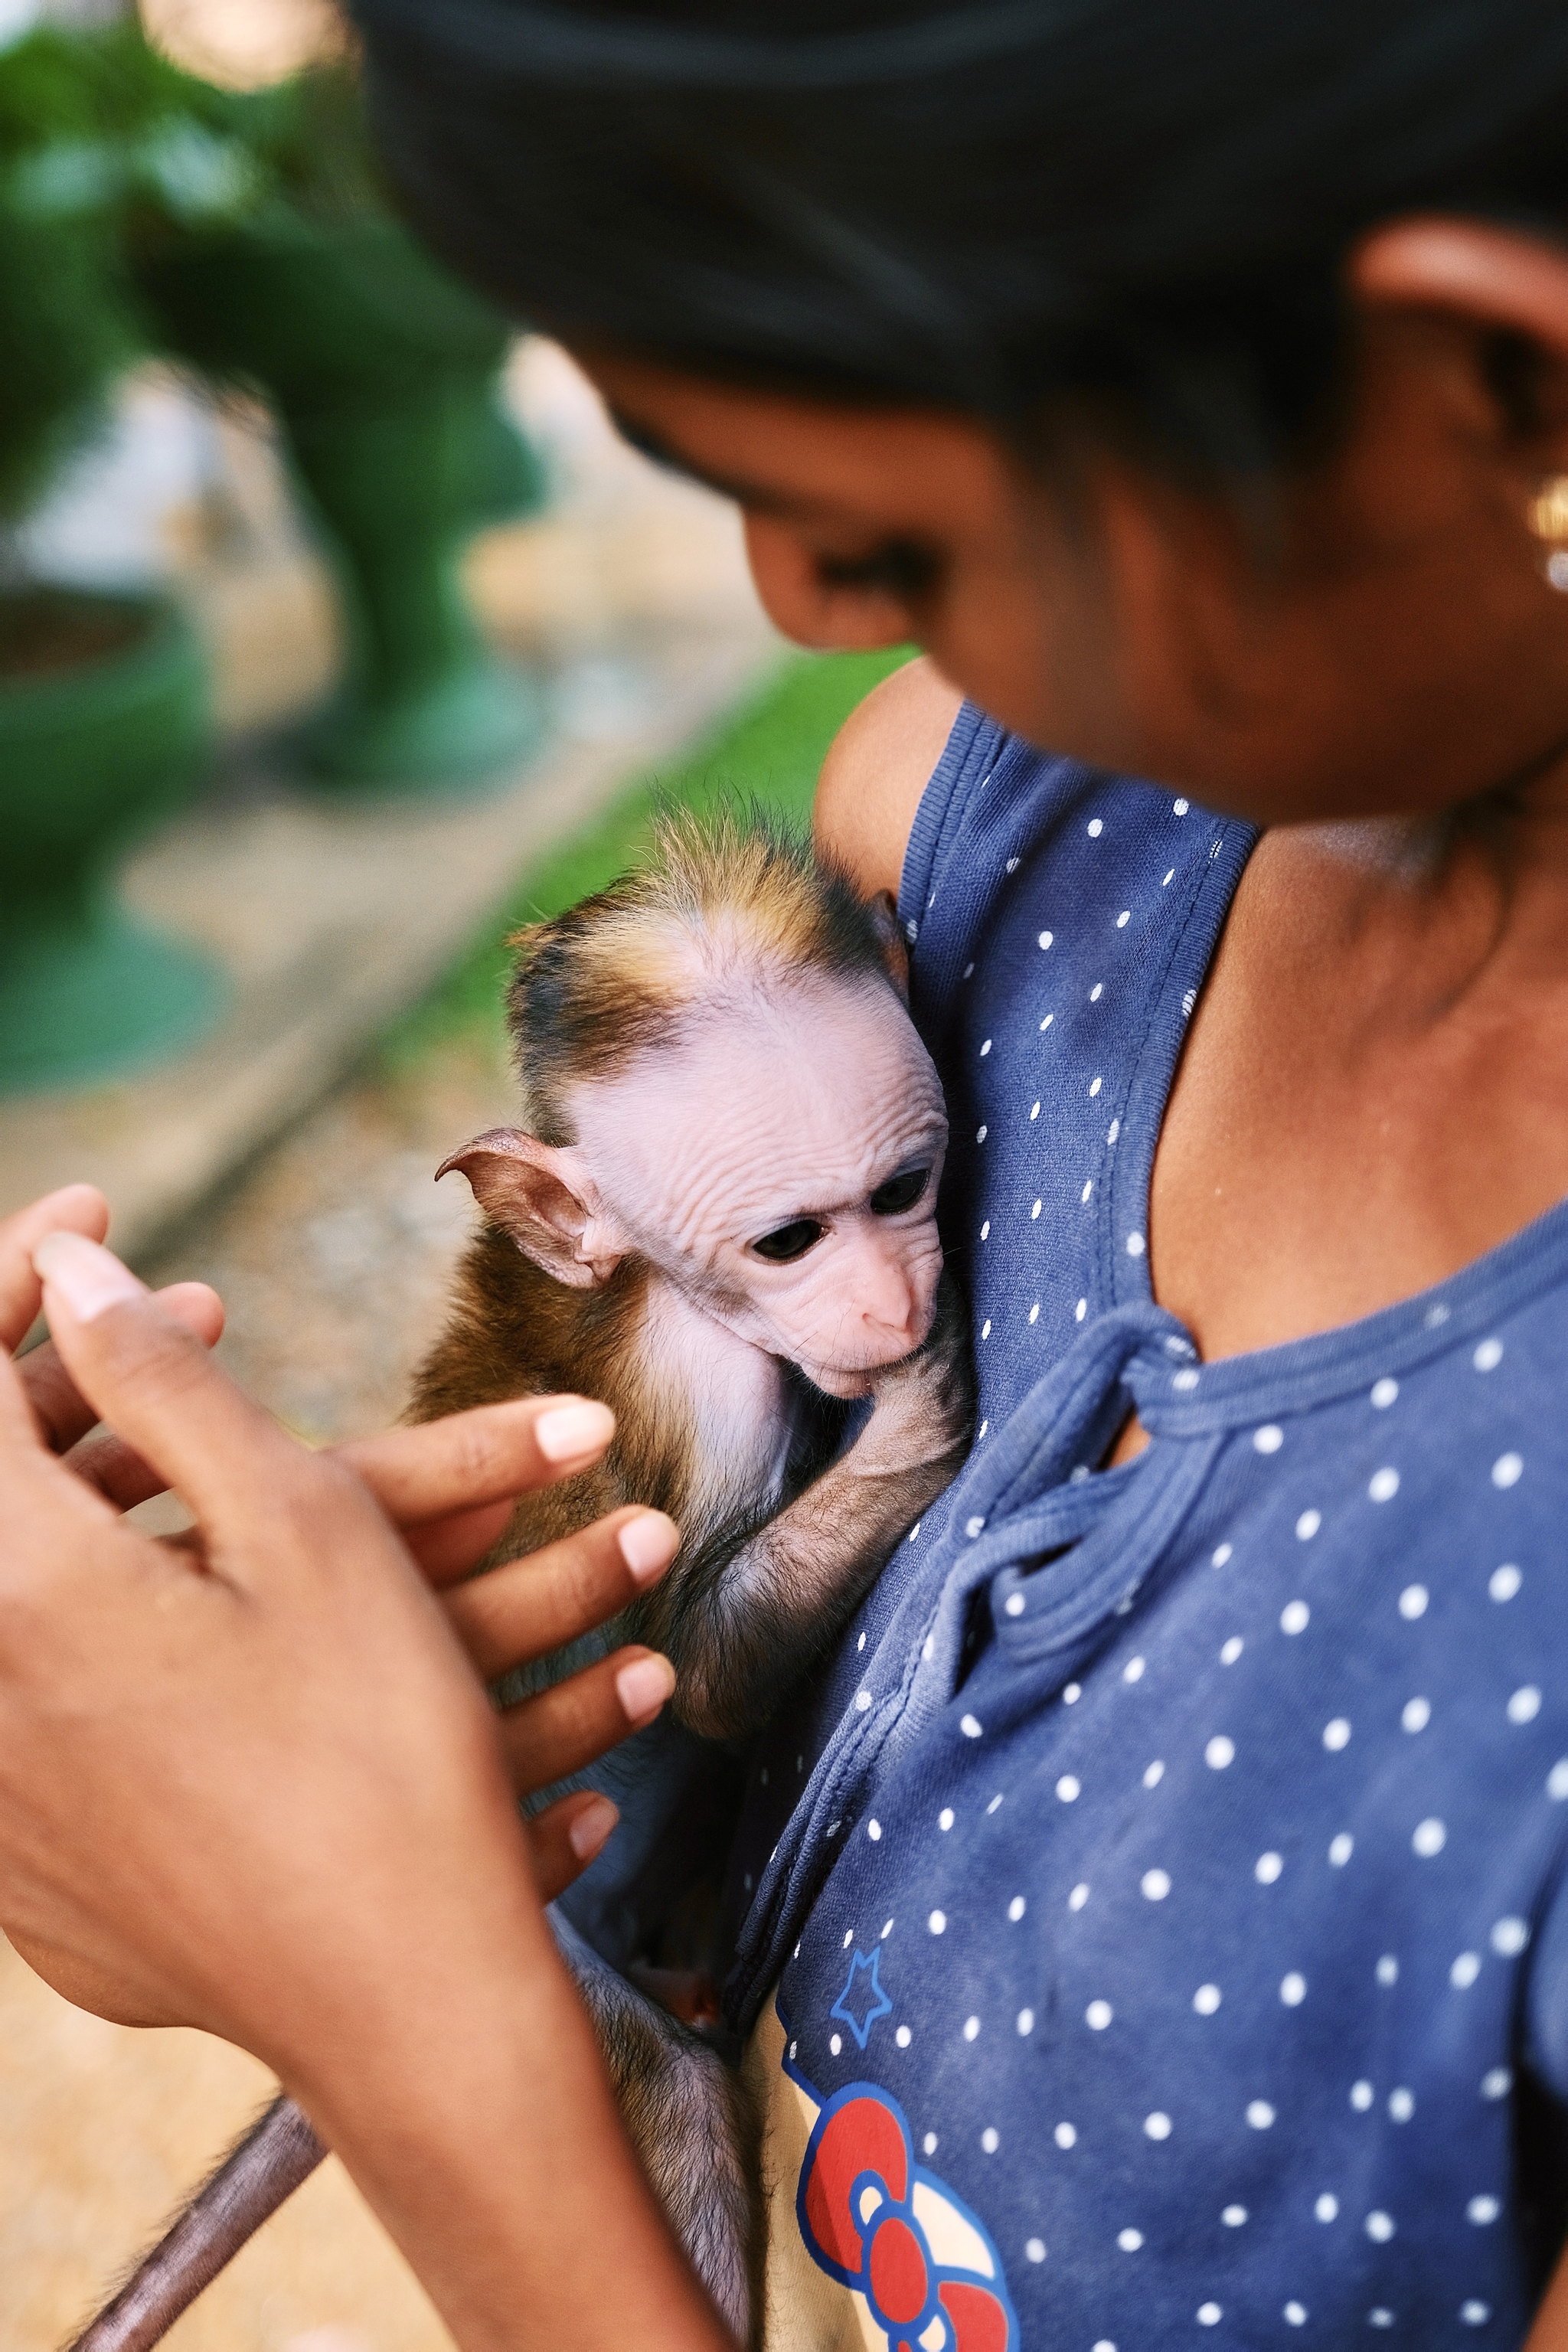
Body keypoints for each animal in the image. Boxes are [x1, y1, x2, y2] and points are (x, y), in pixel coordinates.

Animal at [76, 813, 982, 2352]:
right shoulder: (709, 1393)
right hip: (544, 1965)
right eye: (788, 1240)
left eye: (900, 1190)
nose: (892, 1300)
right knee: (676, 2095)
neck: (659, 1293)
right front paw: (920, 1407)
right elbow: (708, 1671)